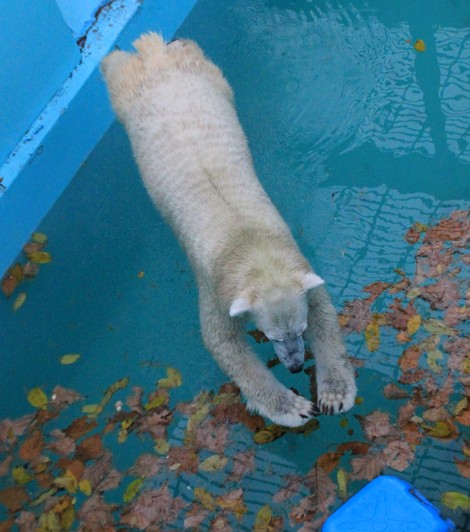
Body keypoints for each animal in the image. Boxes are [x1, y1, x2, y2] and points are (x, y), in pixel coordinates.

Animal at [101, 33, 354, 426]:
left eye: (299, 330)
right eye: (271, 335)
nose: (296, 367)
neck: (250, 243)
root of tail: (155, 54)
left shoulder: (293, 259)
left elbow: (323, 310)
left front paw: (334, 395)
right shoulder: (215, 284)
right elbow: (222, 342)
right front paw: (294, 408)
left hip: (209, 76)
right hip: (130, 93)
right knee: (115, 68)